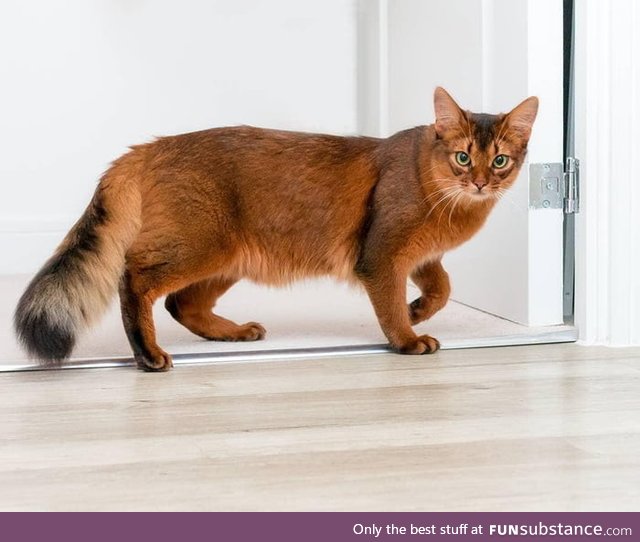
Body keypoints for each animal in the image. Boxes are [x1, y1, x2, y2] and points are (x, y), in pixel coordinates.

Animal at [13, 88, 536, 374]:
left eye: (501, 161)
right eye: (463, 157)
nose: (480, 182)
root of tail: (145, 148)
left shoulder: (423, 257)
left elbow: (444, 287)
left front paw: (419, 309)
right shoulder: (382, 255)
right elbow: (389, 305)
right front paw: (407, 338)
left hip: (231, 257)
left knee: (181, 303)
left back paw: (233, 333)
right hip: (200, 246)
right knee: (135, 279)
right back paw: (148, 354)